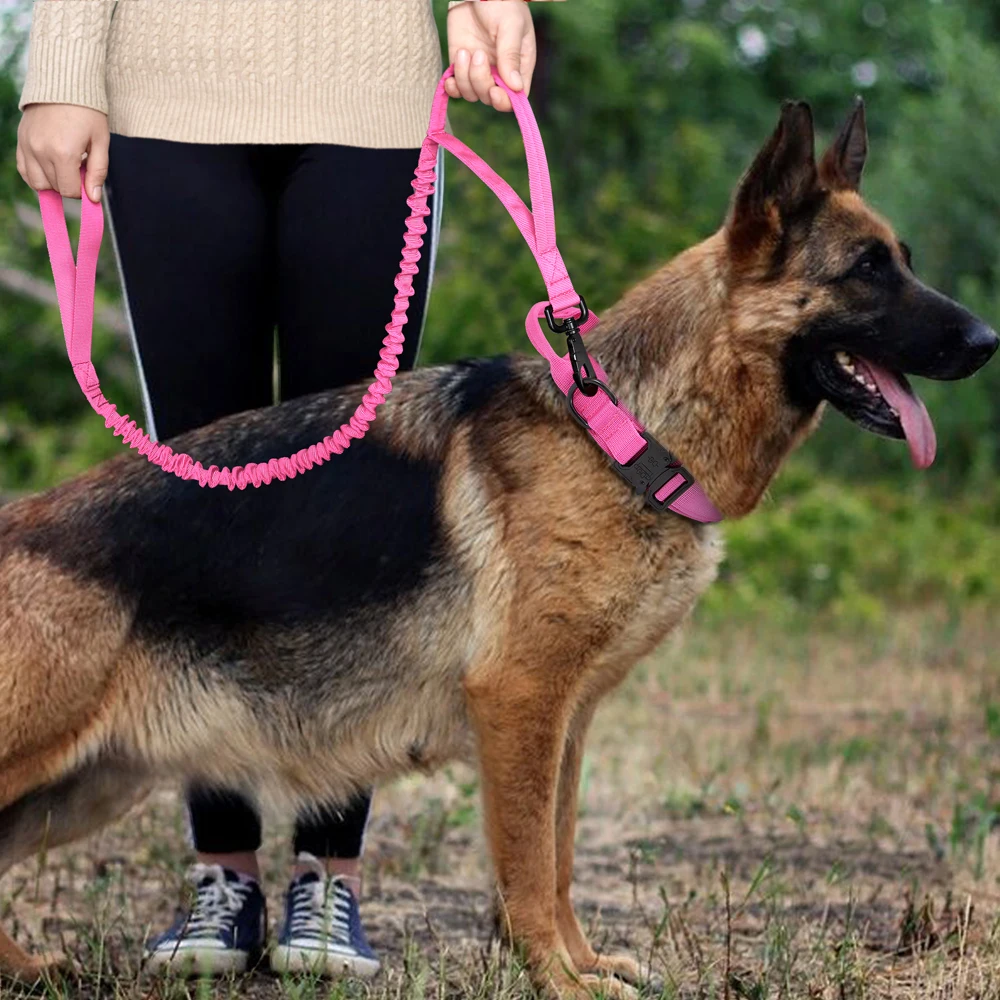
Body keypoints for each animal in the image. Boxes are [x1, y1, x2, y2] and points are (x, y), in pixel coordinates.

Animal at [0, 101, 996, 992]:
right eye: (866, 270)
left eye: (903, 262)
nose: (989, 340)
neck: (621, 430)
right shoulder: (519, 705)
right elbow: (525, 866)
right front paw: (554, 978)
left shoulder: (568, 719)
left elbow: (558, 858)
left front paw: (584, 965)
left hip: (86, 785)